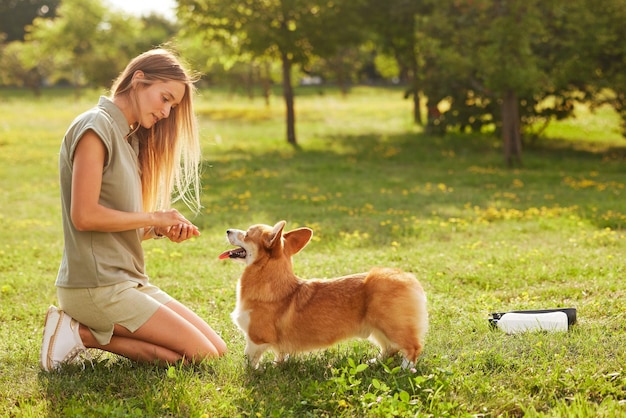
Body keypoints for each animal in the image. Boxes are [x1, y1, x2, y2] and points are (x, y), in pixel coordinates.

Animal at [217, 220, 426, 368]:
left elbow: (249, 359)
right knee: (389, 348)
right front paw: (277, 365)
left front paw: (251, 372)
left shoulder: (256, 339)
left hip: (392, 325)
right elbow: (280, 354)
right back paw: (374, 362)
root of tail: (406, 277)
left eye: (246, 234)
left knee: (412, 348)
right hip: (377, 328)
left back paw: (406, 369)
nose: (227, 230)